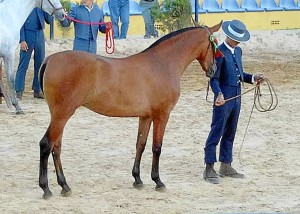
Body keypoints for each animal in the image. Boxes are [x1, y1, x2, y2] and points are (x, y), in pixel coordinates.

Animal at [38, 21, 223, 199]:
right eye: (214, 44)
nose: (214, 70)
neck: (162, 63)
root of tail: (50, 59)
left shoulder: (146, 116)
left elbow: (140, 144)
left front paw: (137, 179)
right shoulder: (162, 115)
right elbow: (157, 147)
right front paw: (158, 181)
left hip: (60, 116)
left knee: (56, 147)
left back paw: (64, 186)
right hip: (62, 115)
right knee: (46, 145)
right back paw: (46, 188)